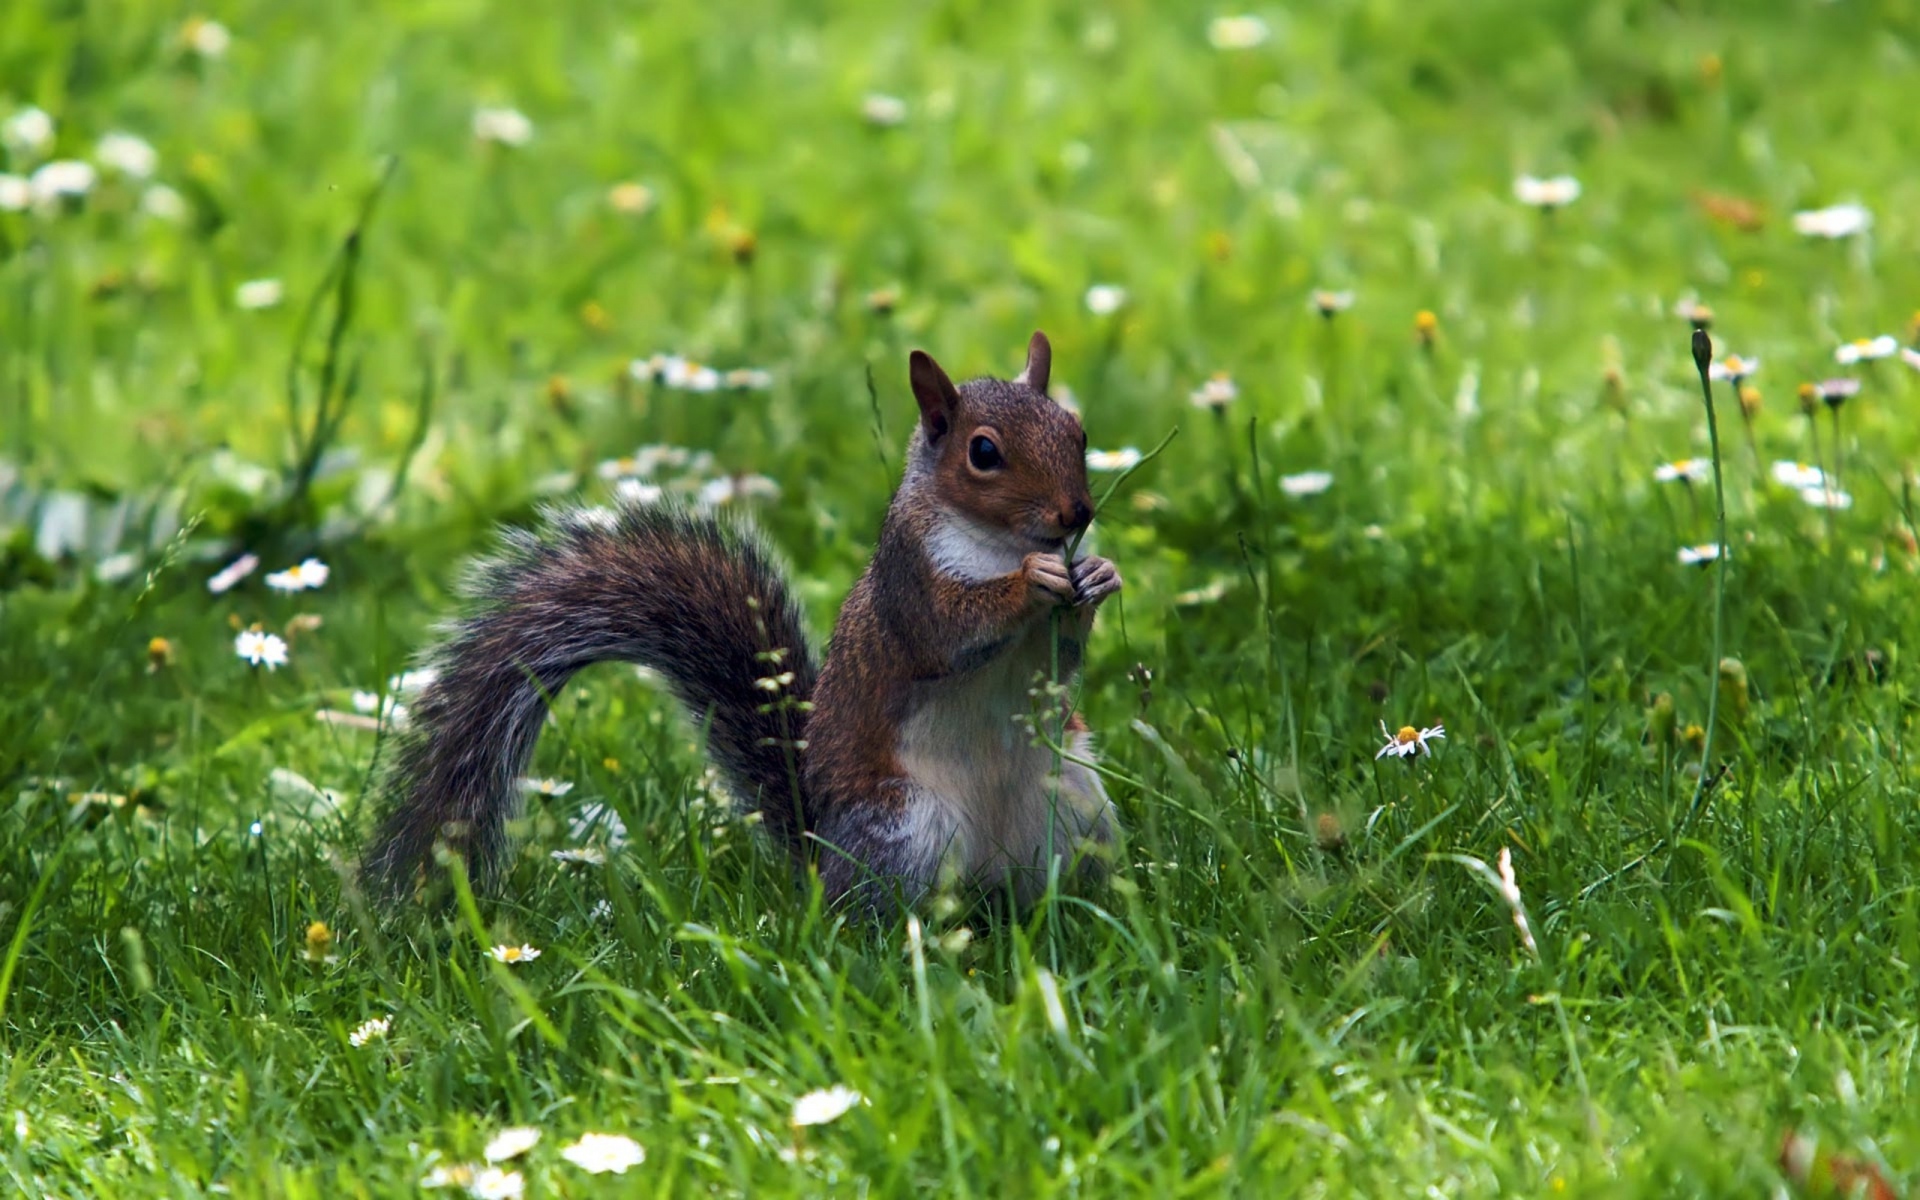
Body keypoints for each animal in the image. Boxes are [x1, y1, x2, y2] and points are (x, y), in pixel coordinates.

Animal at [362, 332, 1121, 902]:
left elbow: (1061, 659)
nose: (1077, 514)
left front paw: (1098, 576)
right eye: (983, 453)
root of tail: (820, 854)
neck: (999, 542)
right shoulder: (910, 583)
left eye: (1078, 431)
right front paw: (1032, 582)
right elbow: (950, 629)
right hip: (905, 829)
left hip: (1076, 804)